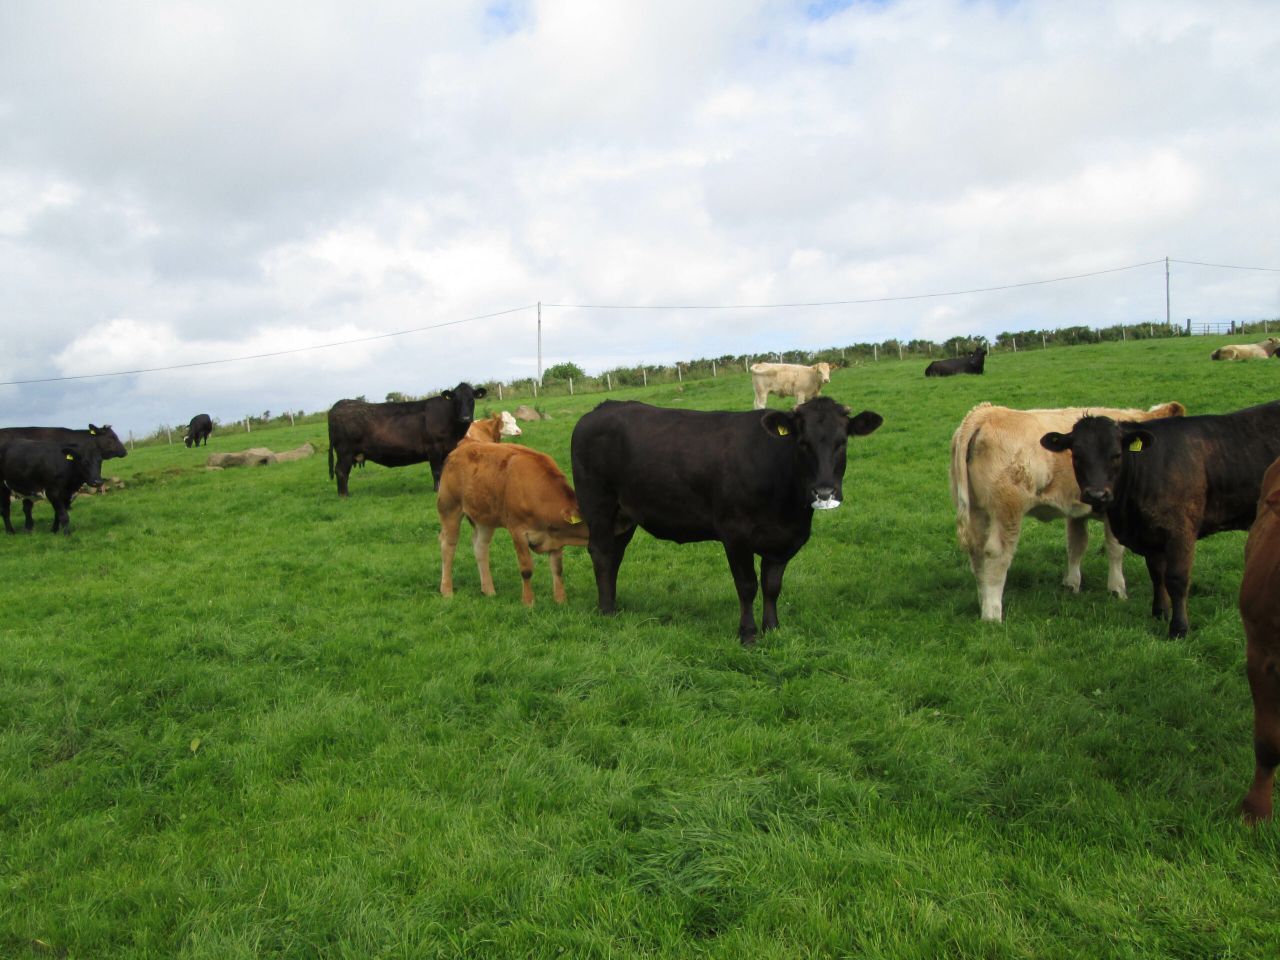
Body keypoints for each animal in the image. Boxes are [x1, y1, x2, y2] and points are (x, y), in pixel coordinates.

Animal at [326, 382, 486, 496]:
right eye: (456, 400)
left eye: (471, 399)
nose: (465, 417)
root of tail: (339, 404)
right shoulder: (434, 448)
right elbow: (436, 471)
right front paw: (437, 490)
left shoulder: (446, 450)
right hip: (345, 451)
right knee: (341, 471)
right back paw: (344, 495)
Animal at [437, 426, 588, 606]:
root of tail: (464, 445)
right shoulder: (518, 530)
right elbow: (526, 569)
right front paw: (528, 602)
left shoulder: (555, 537)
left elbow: (557, 569)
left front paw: (560, 601)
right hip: (450, 507)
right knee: (448, 546)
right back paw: (447, 590)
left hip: (485, 517)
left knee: (480, 546)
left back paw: (489, 590)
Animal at [570, 397, 883, 645]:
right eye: (803, 443)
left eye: (842, 443)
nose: (824, 491)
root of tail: (602, 408)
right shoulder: (735, 534)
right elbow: (747, 586)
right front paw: (748, 634)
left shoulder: (783, 541)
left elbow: (772, 586)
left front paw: (773, 628)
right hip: (598, 503)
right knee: (602, 553)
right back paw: (606, 611)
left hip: (624, 515)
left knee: (615, 556)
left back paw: (613, 604)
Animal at [951, 400, 1186, 621]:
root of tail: (986, 412)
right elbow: (1115, 549)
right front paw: (1117, 589)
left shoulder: (1076, 511)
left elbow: (1076, 545)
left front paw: (1071, 585)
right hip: (1006, 512)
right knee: (996, 556)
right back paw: (992, 613)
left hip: (978, 511)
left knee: (977, 554)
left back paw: (983, 601)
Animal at [1040, 400, 1280, 637]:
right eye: (1076, 455)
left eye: (1116, 454)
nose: (1096, 494)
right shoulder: (1150, 534)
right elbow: (1157, 574)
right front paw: (1160, 612)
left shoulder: (1181, 531)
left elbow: (1176, 579)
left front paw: (1179, 628)